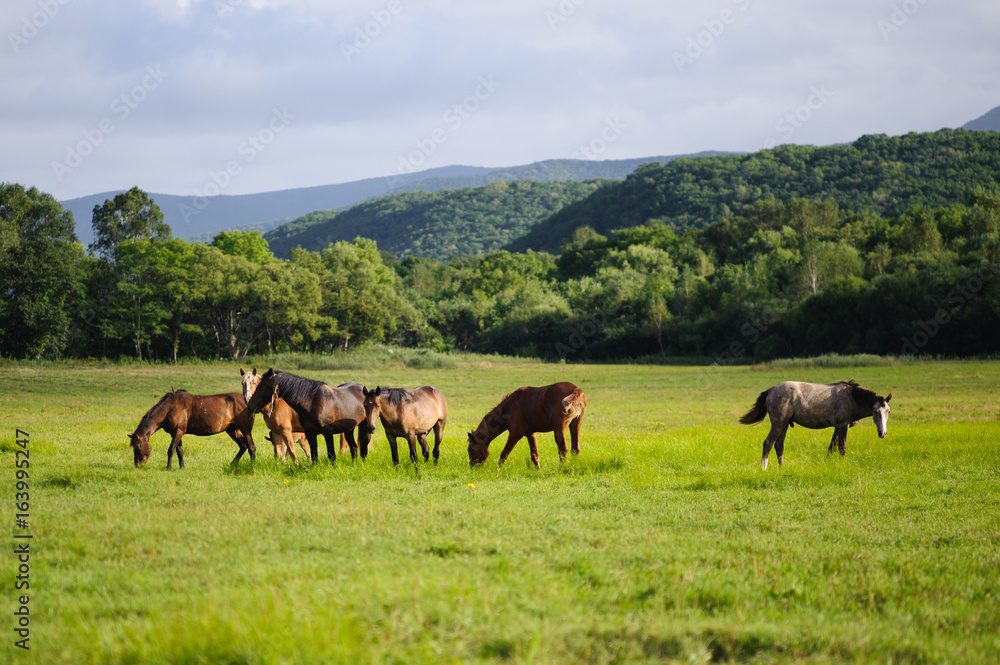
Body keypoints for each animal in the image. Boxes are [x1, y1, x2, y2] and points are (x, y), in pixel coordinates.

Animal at [740, 376, 896, 470]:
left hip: (784, 425)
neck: (852, 398)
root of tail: (770, 390)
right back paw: (763, 469)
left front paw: (827, 464)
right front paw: (842, 465)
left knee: (779, 446)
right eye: (875, 411)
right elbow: (842, 447)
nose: (883, 433)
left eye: (888, 411)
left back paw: (782, 468)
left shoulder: (837, 427)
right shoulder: (843, 425)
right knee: (768, 443)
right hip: (778, 424)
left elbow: (831, 447)